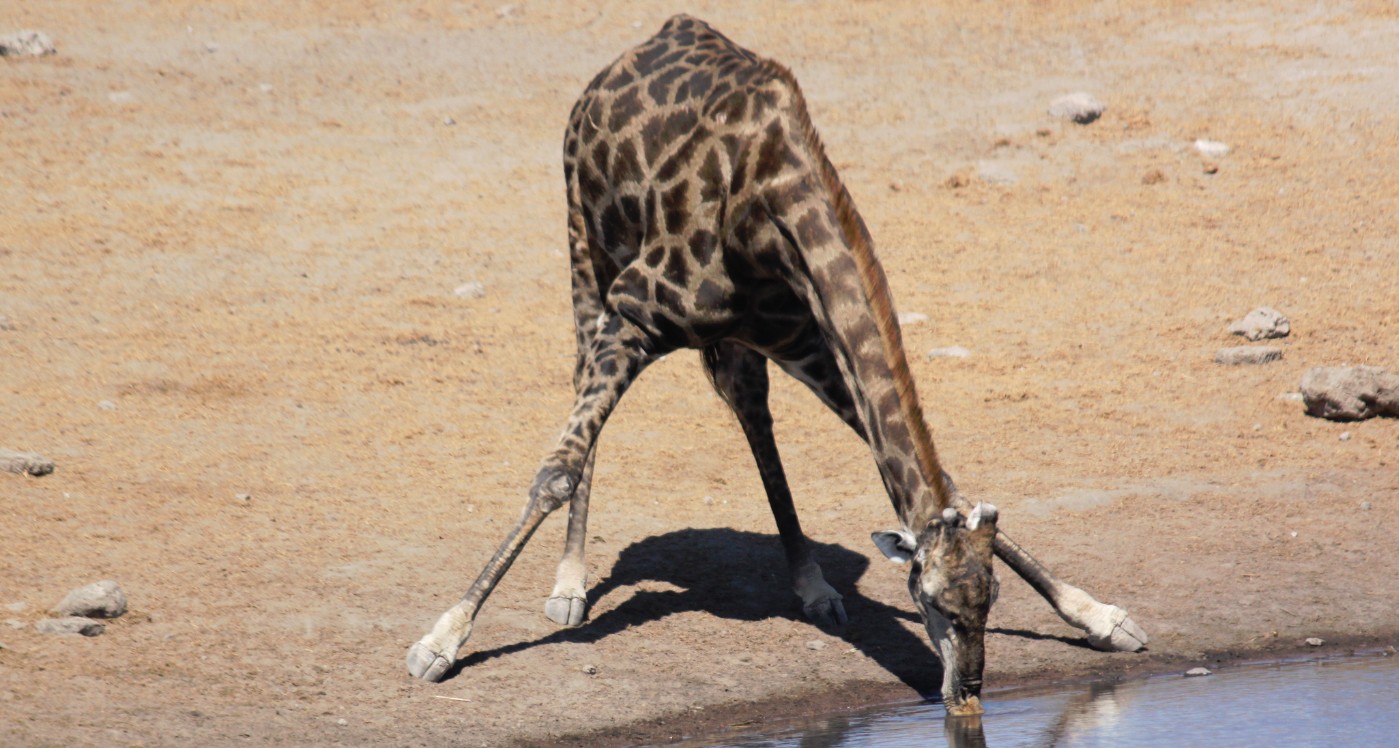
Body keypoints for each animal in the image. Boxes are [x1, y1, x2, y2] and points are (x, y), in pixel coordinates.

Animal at [408, 13, 1147, 713]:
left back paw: (812, 584)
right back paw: (568, 584)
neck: (765, 208)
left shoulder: (810, 341)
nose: (965, 691)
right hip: (585, 245)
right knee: (581, 396)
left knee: (751, 415)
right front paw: (441, 641)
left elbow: (943, 485)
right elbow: (553, 474)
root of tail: (644, 44)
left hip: (745, 342)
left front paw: (1100, 616)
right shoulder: (633, 313)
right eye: (931, 600)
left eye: (988, 599)